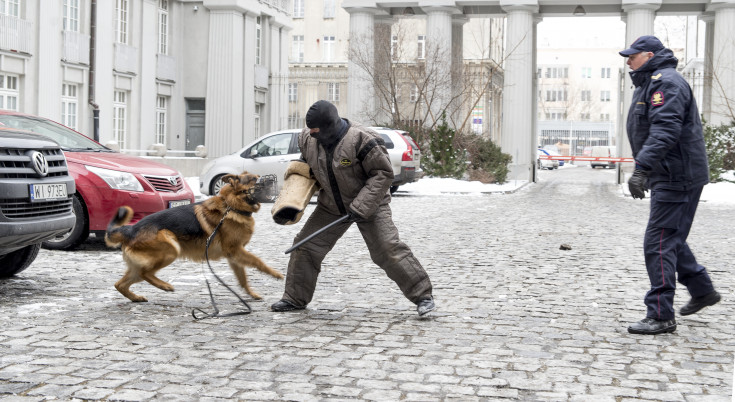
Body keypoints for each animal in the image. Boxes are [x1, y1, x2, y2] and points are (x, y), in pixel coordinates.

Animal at [105, 172, 284, 302]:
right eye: (254, 179)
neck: (231, 205)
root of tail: (131, 229)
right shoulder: (236, 251)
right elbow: (258, 261)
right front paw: (275, 274)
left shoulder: (234, 256)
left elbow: (243, 278)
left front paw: (251, 294)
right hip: (171, 249)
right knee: (145, 273)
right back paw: (165, 286)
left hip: (139, 266)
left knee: (120, 284)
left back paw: (136, 297)